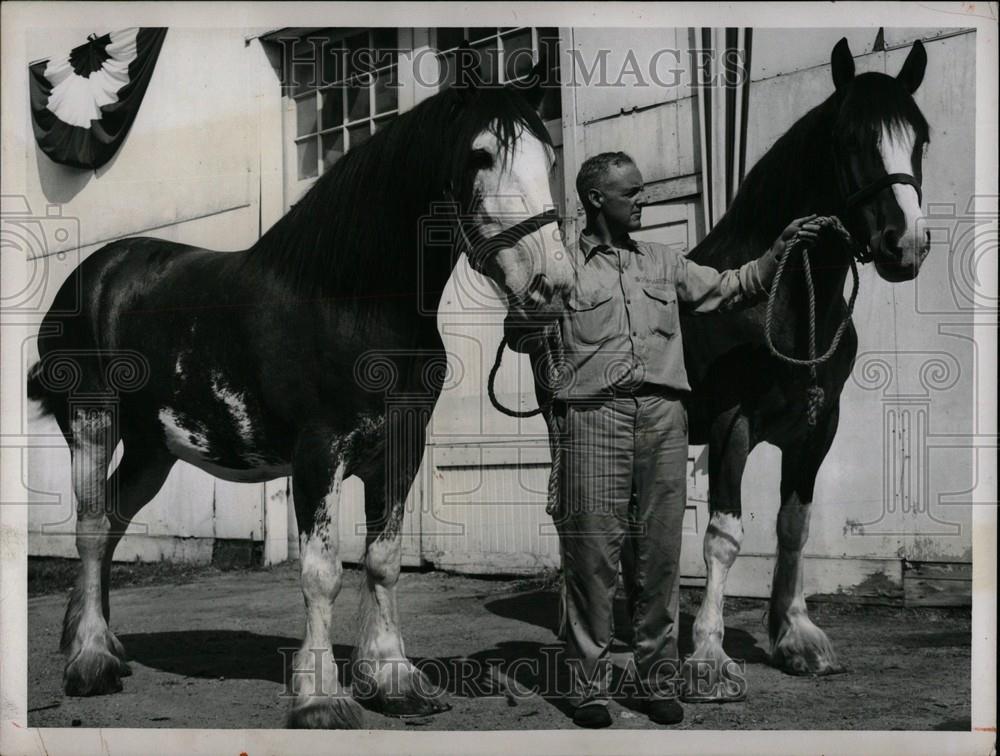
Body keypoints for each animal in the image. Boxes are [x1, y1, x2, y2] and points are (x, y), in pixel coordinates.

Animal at [29, 71, 572, 728]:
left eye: (550, 158)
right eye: (481, 155)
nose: (552, 286)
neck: (349, 302)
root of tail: (96, 272)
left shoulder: (401, 450)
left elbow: (383, 561)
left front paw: (394, 680)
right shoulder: (318, 453)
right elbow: (321, 573)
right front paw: (319, 699)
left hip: (152, 450)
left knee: (110, 522)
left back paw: (105, 644)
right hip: (93, 421)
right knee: (88, 528)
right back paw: (89, 663)